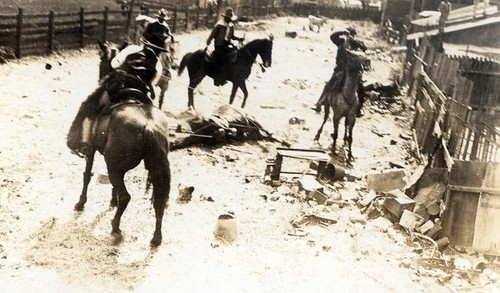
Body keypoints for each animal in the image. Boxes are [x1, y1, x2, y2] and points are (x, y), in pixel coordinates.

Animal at [67, 79, 171, 244]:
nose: (72, 144)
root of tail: (149, 127)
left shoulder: (92, 151)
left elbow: (87, 176)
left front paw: (80, 203)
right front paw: (111, 201)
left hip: (114, 168)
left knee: (125, 197)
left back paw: (115, 225)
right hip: (149, 170)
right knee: (159, 202)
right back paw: (156, 237)